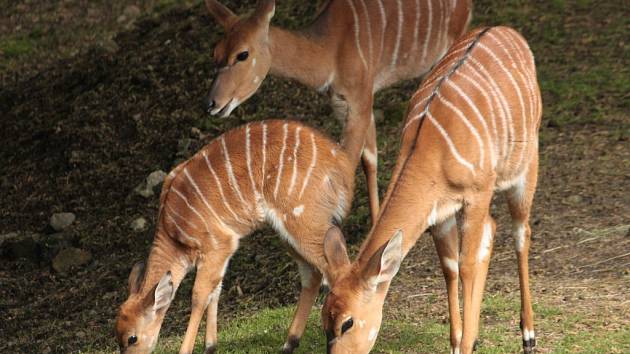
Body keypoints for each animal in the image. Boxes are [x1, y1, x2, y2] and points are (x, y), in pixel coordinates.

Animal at [116, 119, 358, 354]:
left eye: (132, 339)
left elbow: (199, 295)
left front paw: (188, 349)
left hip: (303, 223)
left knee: (336, 269)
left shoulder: (218, 245)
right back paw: (289, 343)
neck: (173, 232)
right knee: (313, 274)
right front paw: (210, 346)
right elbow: (215, 291)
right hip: (288, 234)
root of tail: (342, 166)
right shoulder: (220, 254)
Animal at [205, 0, 472, 224]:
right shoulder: (351, 104)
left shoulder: (359, 102)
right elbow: (369, 160)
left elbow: (349, 164)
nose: (212, 103)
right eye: (215, 52)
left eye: (242, 54)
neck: (330, 49)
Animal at [320, 27, 544, 354]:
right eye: (324, 319)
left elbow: (466, 265)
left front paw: (467, 343)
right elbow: (450, 267)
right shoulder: (440, 213)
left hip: (525, 168)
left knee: (520, 233)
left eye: (347, 322)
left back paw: (528, 335)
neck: (429, 149)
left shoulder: (476, 194)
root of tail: (508, 31)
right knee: (492, 228)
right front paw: (459, 343)